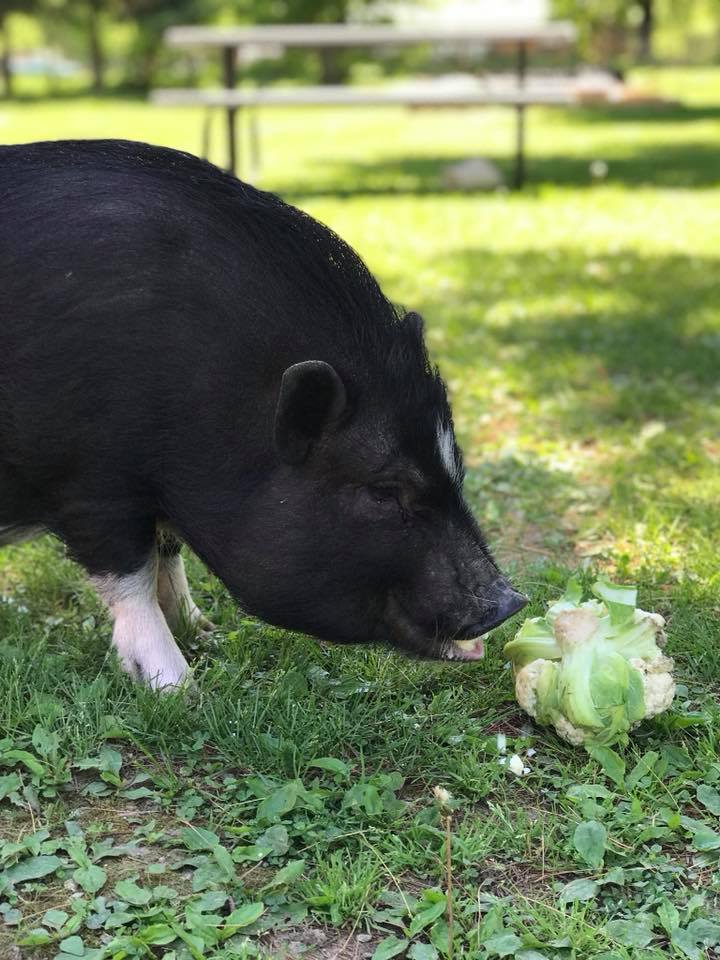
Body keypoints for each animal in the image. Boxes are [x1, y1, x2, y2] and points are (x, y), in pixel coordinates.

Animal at [1, 139, 528, 688]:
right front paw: (180, 690)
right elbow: (132, 581)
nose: (510, 603)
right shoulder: (89, 481)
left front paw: (206, 633)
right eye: (383, 491)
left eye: (456, 468)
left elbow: (168, 554)